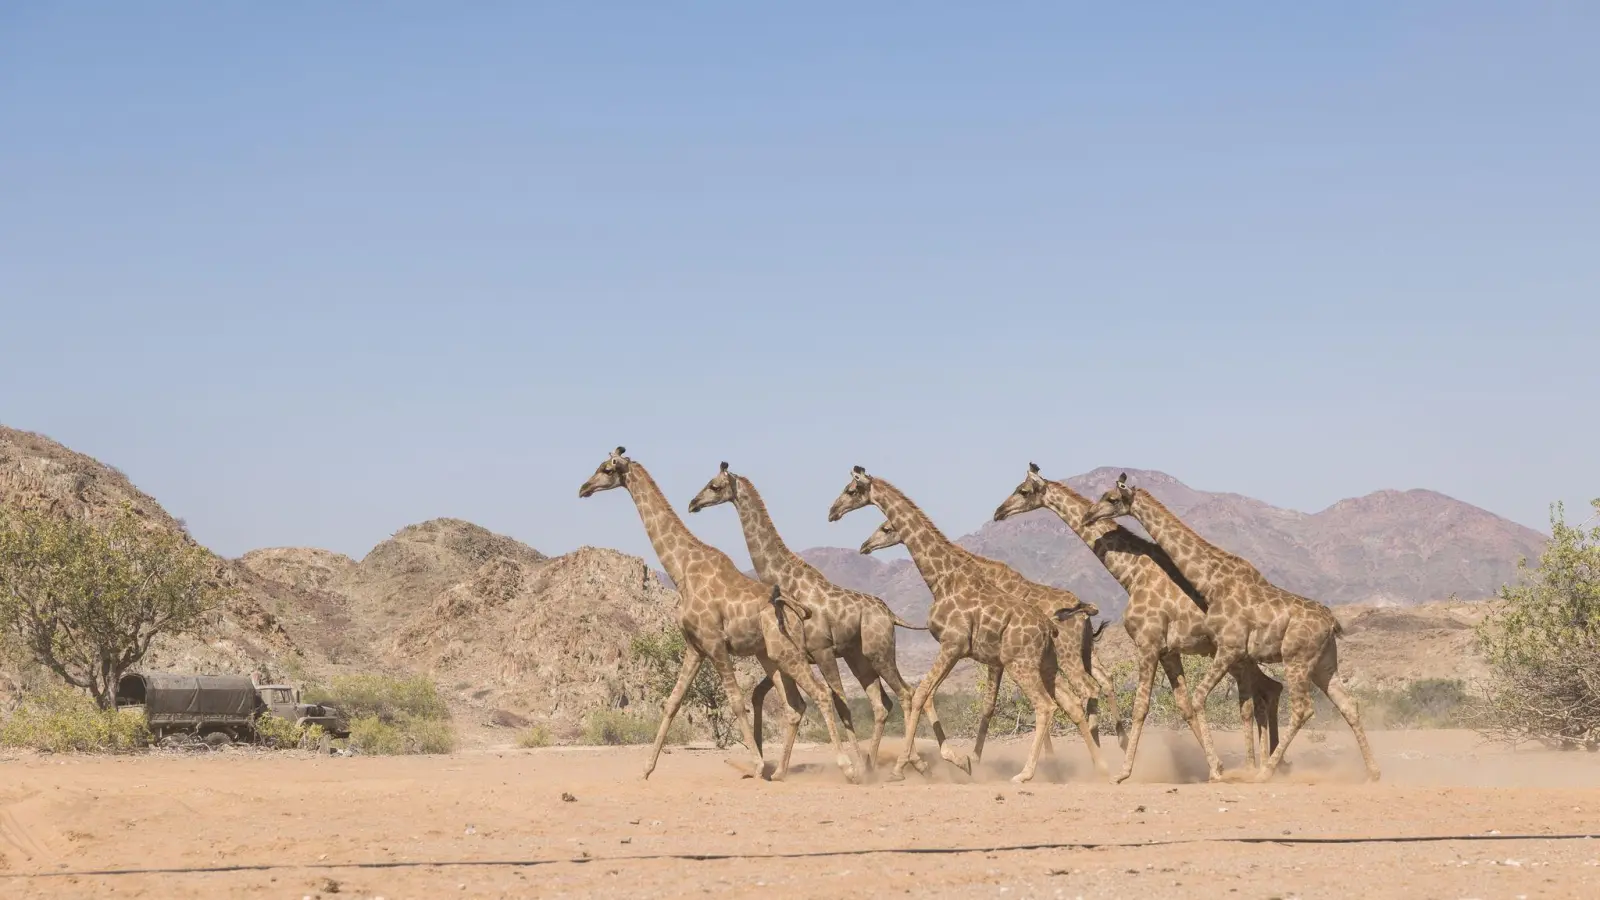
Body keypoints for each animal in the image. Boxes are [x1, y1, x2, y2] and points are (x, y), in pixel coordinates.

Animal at [579, 445, 864, 781]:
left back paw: (847, 768)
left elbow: (736, 702)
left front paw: (757, 765)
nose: (583, 489)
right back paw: (781, 772)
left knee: (821, 694)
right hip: (771, 655)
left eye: (607, 469)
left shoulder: (715, 643)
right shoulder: (695, 646)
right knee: (795, 705)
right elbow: (672, 702)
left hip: (788, 652)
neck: (681, 570)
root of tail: (795, 609)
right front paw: (646, 770)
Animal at [691, 458, 960, 775]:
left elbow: (839, 704)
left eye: (714, 486)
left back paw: (913, 762)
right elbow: (769, 697)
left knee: (905, 694)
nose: (693, 504)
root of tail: (891, 614)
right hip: (859, 658)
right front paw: (774, 767)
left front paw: (850, 766)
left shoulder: (822, 651)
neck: (786, 579)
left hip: (879, 652)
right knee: (883, 703)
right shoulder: (796, 655)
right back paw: (884, 762)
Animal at [832, 461, 1107, 778]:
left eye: (851, 490)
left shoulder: (953, 645)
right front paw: (961, 760)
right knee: (1074, 701)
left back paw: (1027, 773)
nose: (832, 512)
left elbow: (923, 694)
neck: (943, 578)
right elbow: (935, 697)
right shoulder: (966, 652)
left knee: (1053, 704)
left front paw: (908, 766)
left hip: (1027, 662)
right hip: (1048, 663)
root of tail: (1054, 624)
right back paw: (1098, 765)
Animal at [985, 461, 1286, 778]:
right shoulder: (1167, 650)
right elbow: (1184, 705)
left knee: (1260, 694)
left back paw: (1262, 764)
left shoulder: (1148, 643)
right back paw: (1269, 764)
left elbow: (1141, 707)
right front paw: (1214, 764)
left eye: (1023, 490)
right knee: (1269, 689)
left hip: (1237, 652)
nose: (998, 512)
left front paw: (1126, 770)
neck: (1132, 573)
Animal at [1081, 470, 1382, 778]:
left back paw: (1265, 772)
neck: (1212, 582)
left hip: (1296, 659)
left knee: (1302, 709)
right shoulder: (1233, 653)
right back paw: (1372, 772)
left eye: (1112, 498)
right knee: (1348, 704)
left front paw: (1217, 771)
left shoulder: (1229, 647)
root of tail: (1332, 623)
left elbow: (1199, 698)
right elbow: (1233, 703)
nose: (1089, 515)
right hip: (1324, 664)